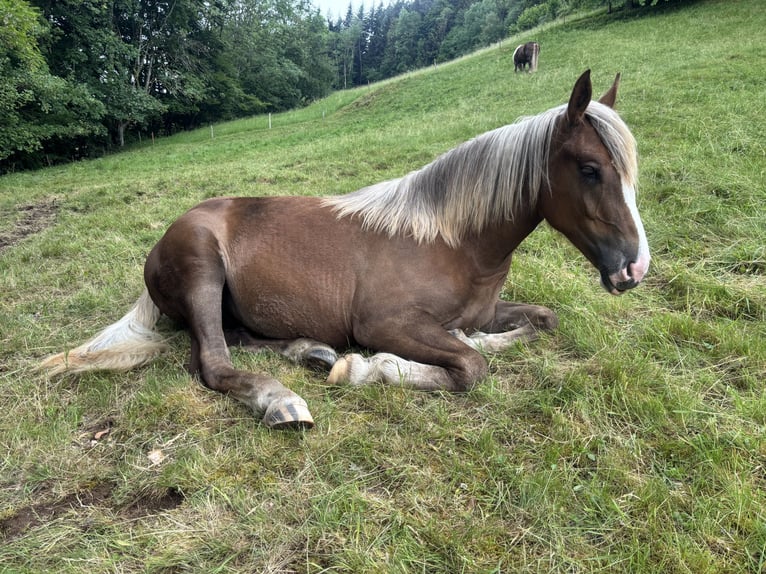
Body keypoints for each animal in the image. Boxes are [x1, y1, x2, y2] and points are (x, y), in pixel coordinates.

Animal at [41, 70, 650, 431]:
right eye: (590, 169)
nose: (634, 268)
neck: (450, 240)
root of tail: (162, 242)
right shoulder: (387, 323)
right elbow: (471, 366)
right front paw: (369, 368)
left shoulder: (484, 310)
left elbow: (538, 320)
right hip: (202, 270)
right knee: (213, 360)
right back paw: (284, 399)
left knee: (241, 338)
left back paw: (311, 351)